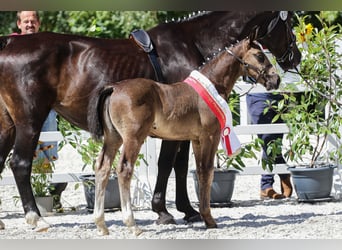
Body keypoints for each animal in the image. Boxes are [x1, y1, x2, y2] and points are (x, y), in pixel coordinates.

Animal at [0, 11, 300, 230]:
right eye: (288, 26)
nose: (294, 59)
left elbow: (180, 166)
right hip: (30, 120)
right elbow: (171, 165)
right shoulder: (180, 132)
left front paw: (184, 210)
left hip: (9, 124)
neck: (192, 41)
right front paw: (169, 211)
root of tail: (10, 43)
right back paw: (36, 217)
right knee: (20, 164)